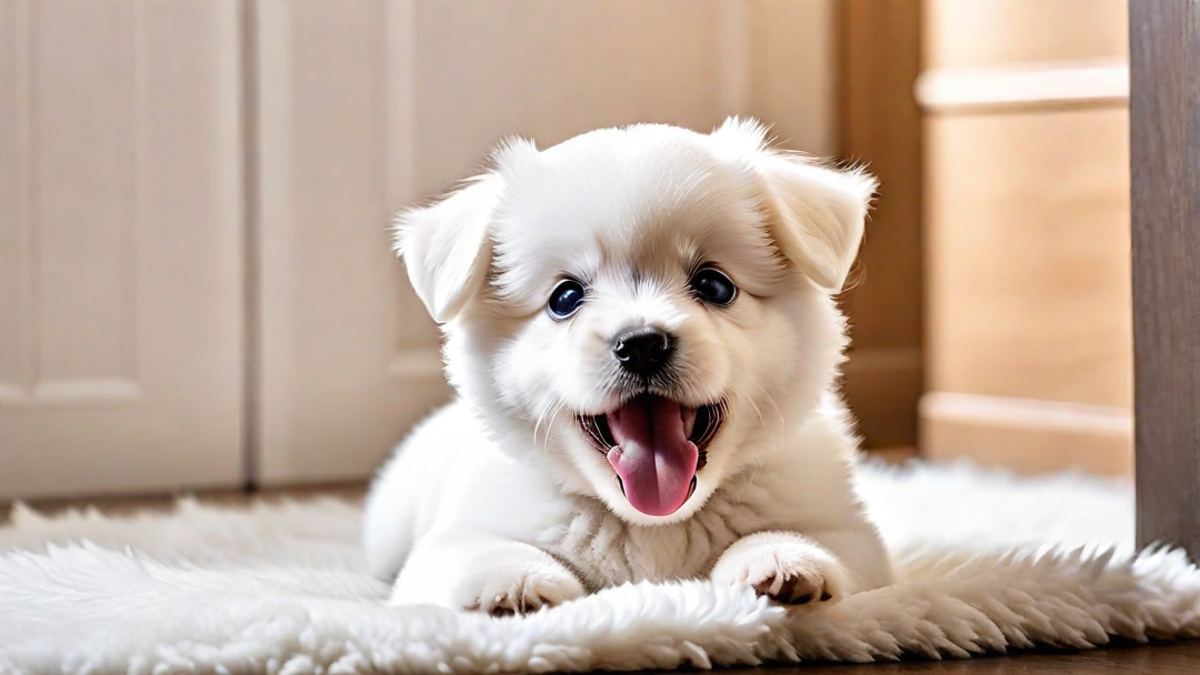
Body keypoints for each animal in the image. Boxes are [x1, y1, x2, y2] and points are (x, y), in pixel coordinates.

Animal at [360, 118, 897, 612]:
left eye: (715, 286)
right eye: (565, 299)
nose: (641, 344)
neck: (654, 522)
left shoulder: (852, 535)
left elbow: (817, 542)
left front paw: (780, 559)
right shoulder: (452, 539)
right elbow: (477, 552)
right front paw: (513, 581)